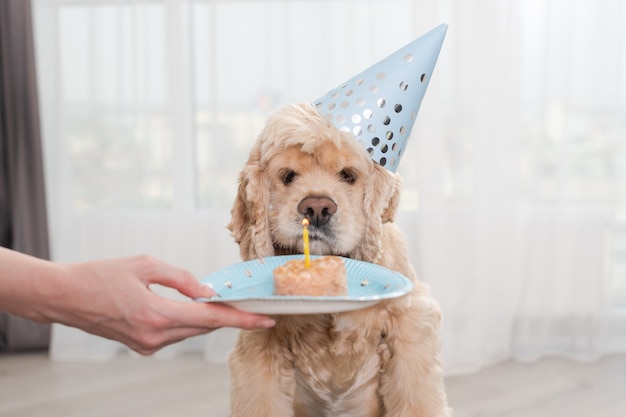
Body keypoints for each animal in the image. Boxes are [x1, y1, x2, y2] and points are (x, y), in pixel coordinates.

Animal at [227, 101, 450, 416]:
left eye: (348, 175)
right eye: (288, 176)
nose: (317, 208)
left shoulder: (411, 320)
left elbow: (418, 398)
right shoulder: (259, 344)